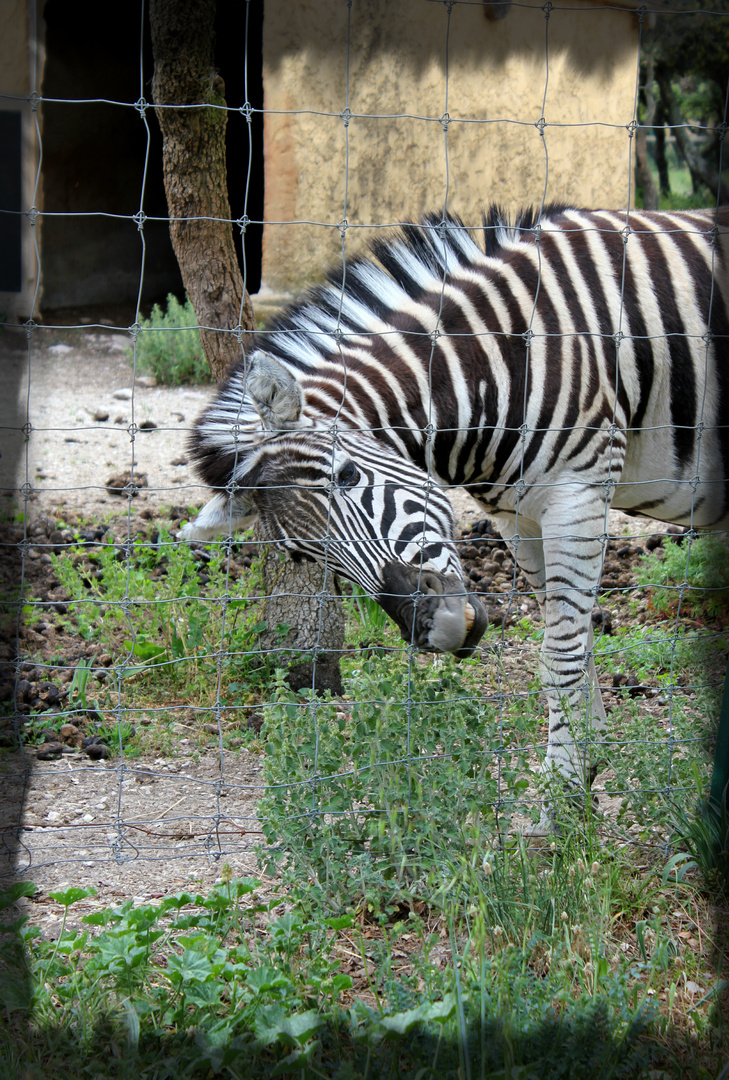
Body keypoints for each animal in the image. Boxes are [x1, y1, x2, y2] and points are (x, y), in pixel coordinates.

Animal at [181, 204, 729, 816]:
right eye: (302, 556)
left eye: (348, 476)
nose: (435, 630)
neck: (499, 358)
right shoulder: (521, 516)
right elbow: (575, 644)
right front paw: (579, 779)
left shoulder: (579, 494)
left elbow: (560, 656)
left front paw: (558, 805)